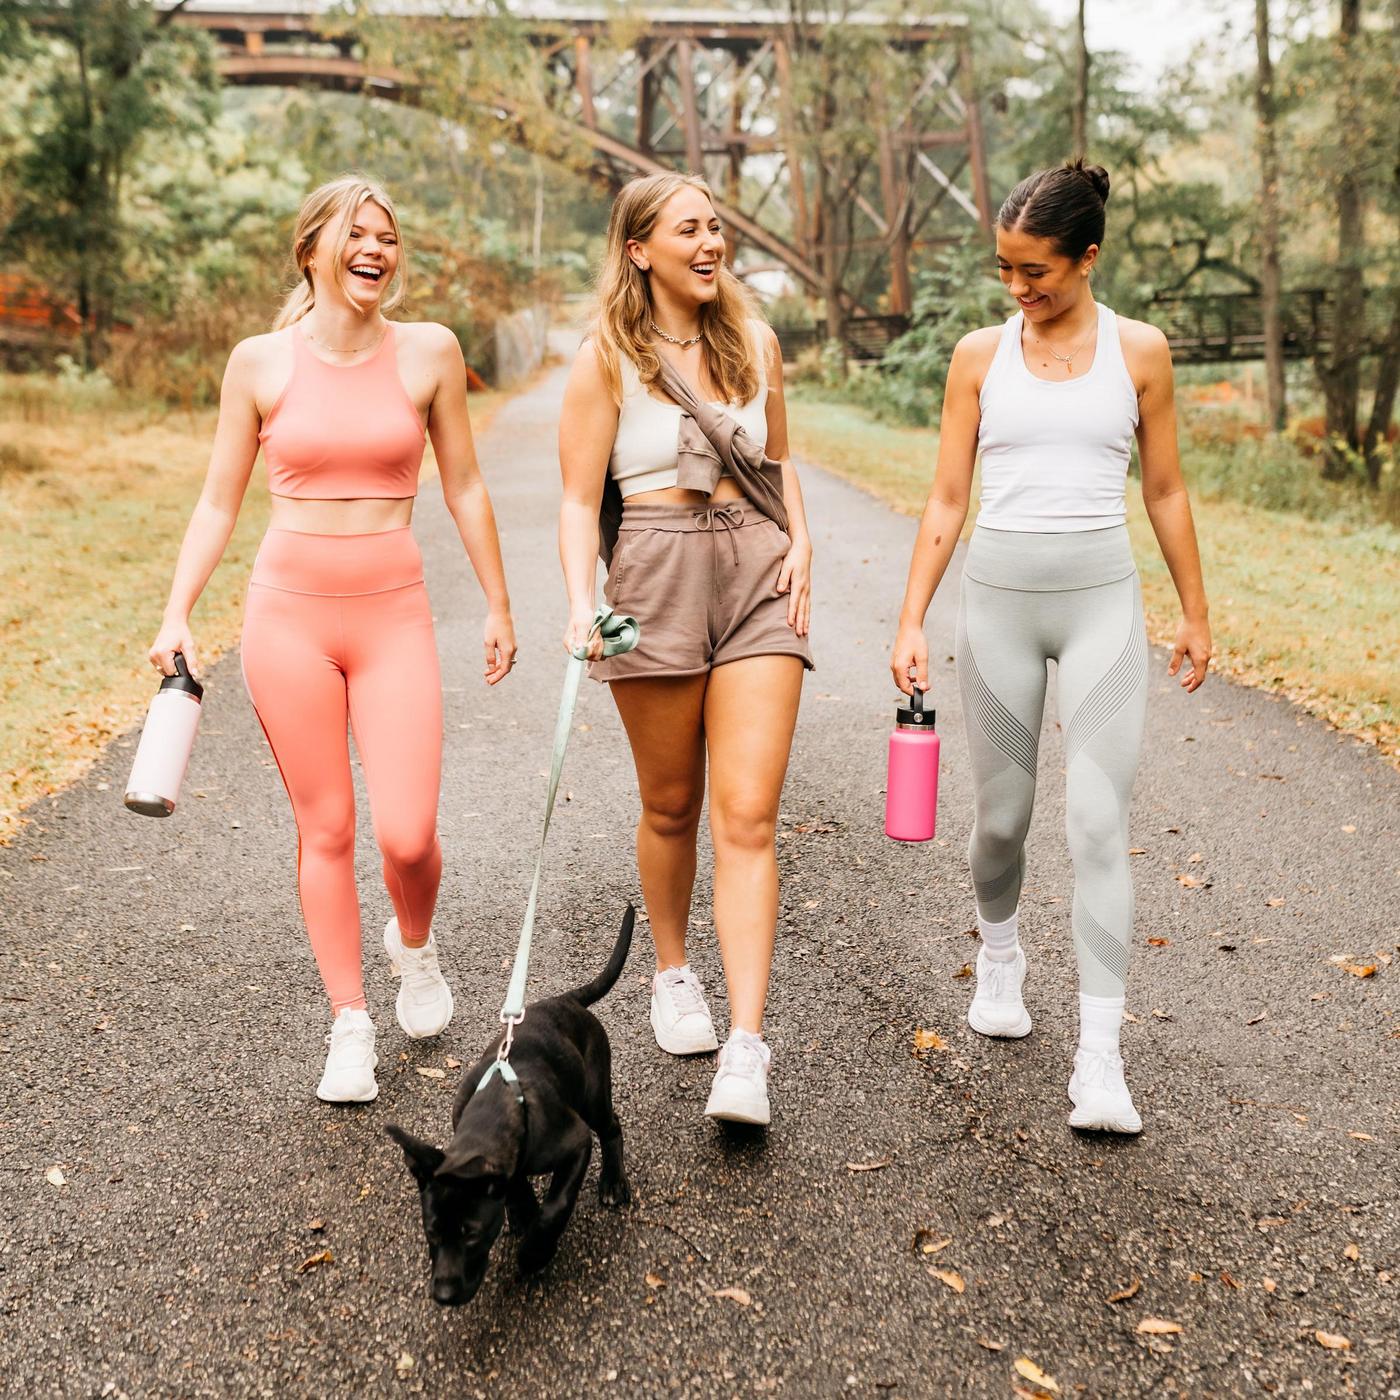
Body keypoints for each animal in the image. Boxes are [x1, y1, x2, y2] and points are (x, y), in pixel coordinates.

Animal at [392, 901, 638, 1304]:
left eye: (472, 1234)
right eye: (431, 1231)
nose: (443, 1294)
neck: (492, 1109)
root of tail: (566, 1000)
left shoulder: (576, 1142)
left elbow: (557, 1205)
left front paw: (535, 1250)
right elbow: (515, 1182)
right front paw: (522, 1212)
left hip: (593, 1096)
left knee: (611, 1126)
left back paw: (613, 1182)